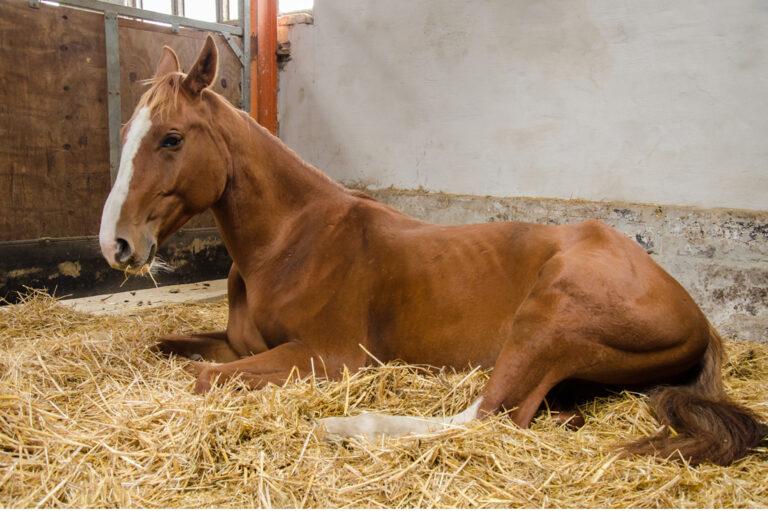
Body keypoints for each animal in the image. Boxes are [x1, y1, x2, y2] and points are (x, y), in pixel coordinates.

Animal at [98, 35, 766, 466]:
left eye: (171, 138)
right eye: (129, 132)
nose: (116, 243)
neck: (292, 242)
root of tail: (698, 317)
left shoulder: (328, 356)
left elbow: (204, 379)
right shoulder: (244, 345)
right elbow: (171, 348)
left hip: (551, 319)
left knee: (489, 414)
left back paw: (344, 426)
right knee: (533, 411)